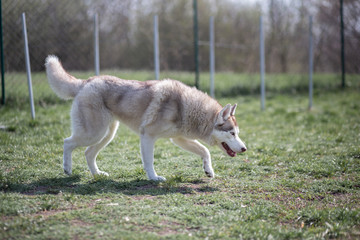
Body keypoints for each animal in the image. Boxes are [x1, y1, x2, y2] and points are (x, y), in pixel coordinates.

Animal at [45, 55, 246, 181]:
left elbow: (205, 151)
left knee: (88, 153)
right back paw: (67, 169)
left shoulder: (178, 139)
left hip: (106, 135)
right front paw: (154, 178)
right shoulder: (148, 136)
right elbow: (149, 161)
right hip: (93, 133)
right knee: (67, 142)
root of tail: (86, 81)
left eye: (237, 133)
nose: (244, 148)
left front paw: (208, 171)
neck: (185, 107)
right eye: (232, 133)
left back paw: (97, 174)